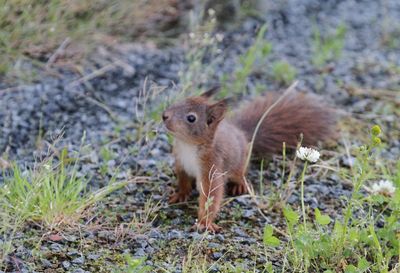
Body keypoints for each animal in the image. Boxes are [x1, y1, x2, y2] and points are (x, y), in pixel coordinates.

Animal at [161, 86, 336, 232]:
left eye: (191, 118)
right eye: (181, 100)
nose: (164, 115)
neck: (188, 146)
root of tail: (242, 134)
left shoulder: (212, 167)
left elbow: (211, 196)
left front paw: (205, 222)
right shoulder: (181, 163)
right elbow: (183, 181)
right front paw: (180, 194)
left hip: (239, 165)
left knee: (241, 175)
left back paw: (240, 185)